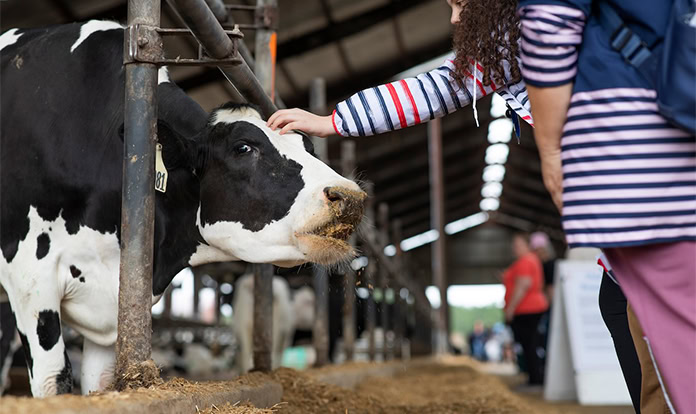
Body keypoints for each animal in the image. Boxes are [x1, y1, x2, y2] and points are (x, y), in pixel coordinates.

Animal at [0, 21, 366, 397]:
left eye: (308, 146)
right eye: (243, 147)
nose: (349, 196)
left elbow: (100, 386)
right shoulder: (29, 276)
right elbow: (54, 381)